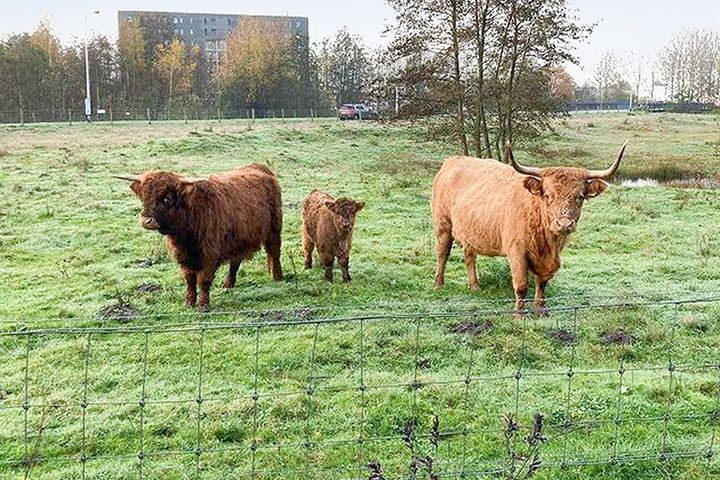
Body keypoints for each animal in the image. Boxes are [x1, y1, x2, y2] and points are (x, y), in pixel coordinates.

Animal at [115, 161, 282, 312]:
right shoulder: (184, 257)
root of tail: (259, 166)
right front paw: (189, 303)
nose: (147, 221)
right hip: (238, 239)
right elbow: (189, 280)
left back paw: (278, 277)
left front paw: (203, 306)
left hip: (274, 229)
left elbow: (203, 280)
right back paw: (228, 284)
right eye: (144, 197)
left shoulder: (209, 255)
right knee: (235, 261)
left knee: (274, 253)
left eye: (167, 198)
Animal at [430, 142, 628, 316]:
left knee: (469, 255)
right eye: (547, 195)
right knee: (442, 253)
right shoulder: (516, 251)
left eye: (579, 196)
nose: (564, 224)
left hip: (471, 231)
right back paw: (439, 284)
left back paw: (474, 286)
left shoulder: (549, 259)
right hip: (443, 226)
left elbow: (542, 283)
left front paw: (541, 311)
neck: (547, 241)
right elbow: (521, 285)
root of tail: (453, 160)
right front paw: (519, 315)